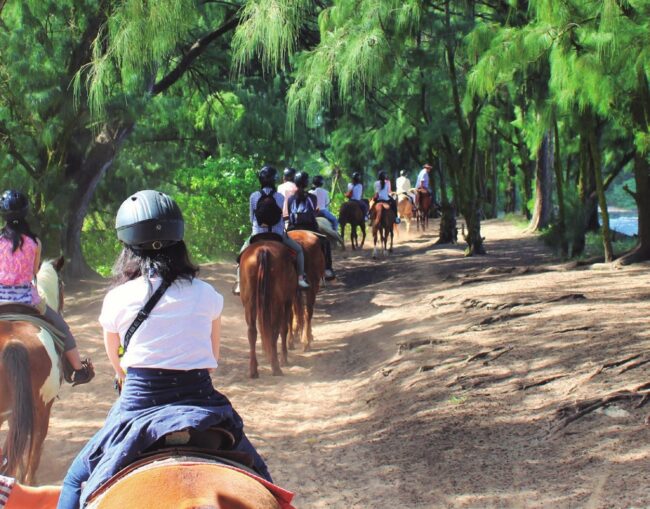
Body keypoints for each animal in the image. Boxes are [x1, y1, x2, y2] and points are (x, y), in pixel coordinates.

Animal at [239, 241, 298, 378]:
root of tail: (263, 250)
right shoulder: (287, 301)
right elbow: (283, 328)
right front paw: (283, 358)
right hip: (277, 302)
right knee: (275, 331)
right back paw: (276, 367)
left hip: (250, 303)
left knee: (252, 331)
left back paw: (253, 370)